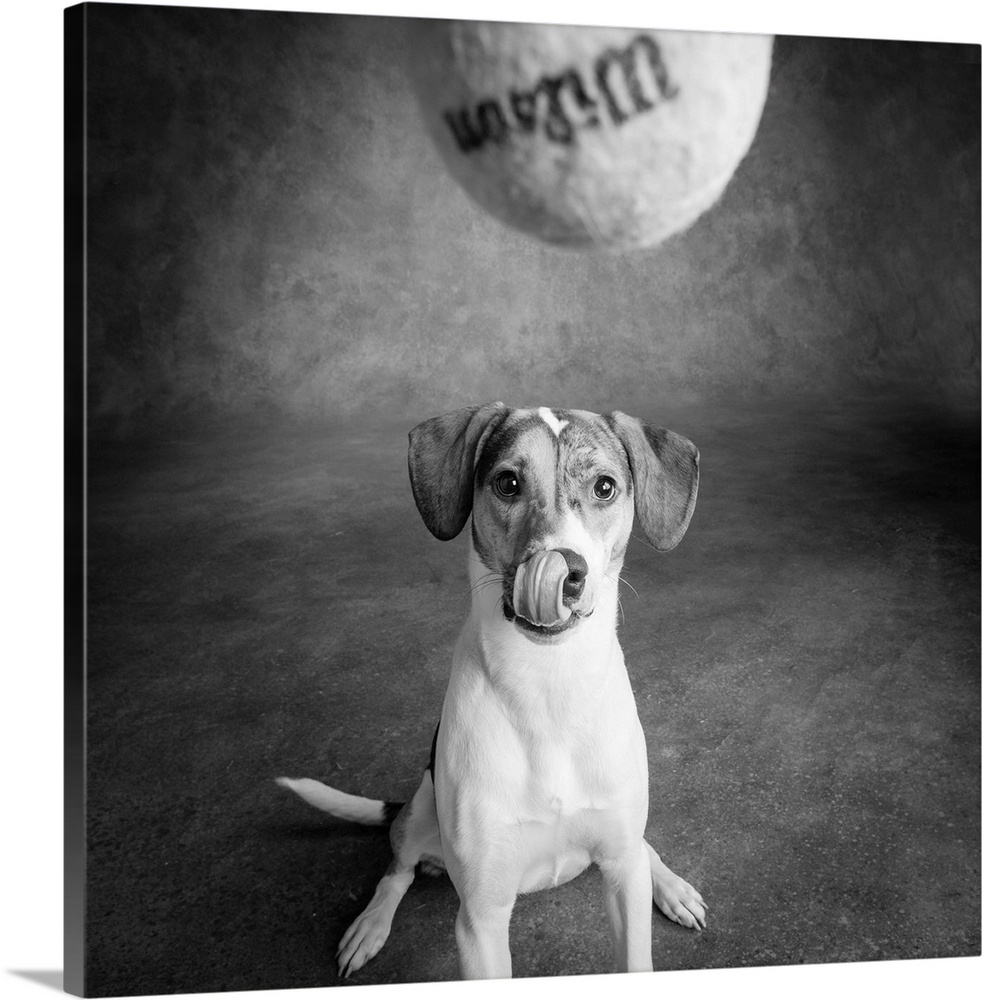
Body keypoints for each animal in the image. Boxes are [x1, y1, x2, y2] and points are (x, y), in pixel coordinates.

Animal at [276, 402, 708, 980]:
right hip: (420, 810)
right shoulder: (480, 918)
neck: (548, 684)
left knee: (642, 850)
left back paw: (669, 884)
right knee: (398, 867)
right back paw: (371, 925)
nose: (567, 572)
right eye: (507, 483)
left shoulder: (621, 875)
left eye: (605, 487)